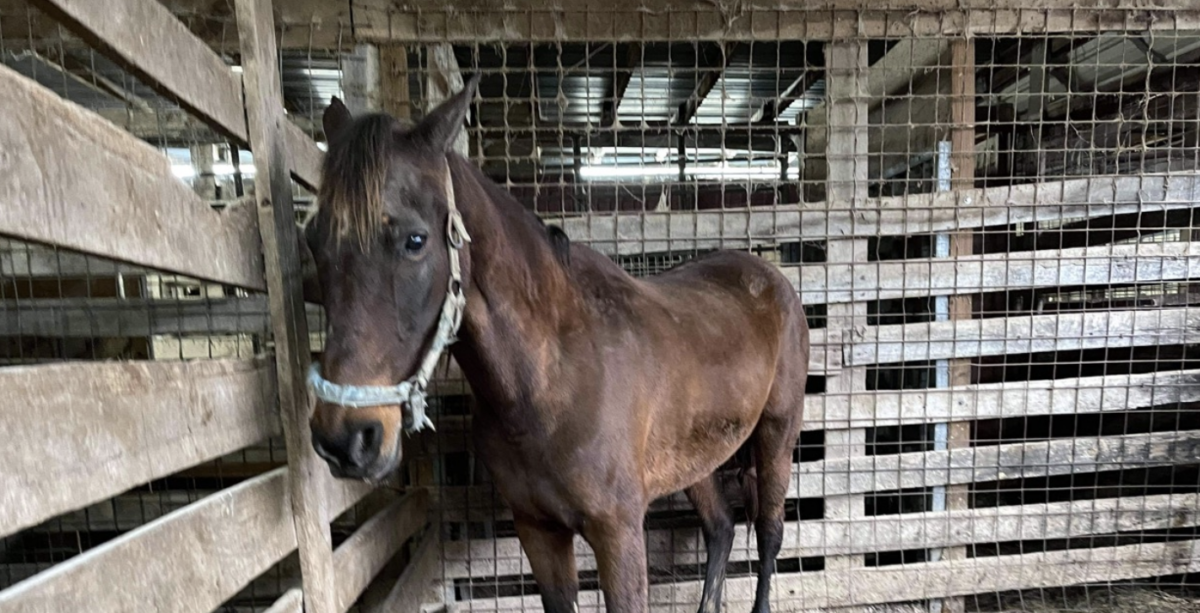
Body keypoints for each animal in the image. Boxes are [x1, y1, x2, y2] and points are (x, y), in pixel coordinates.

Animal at [303, 76, 810, 613]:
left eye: (415, 240)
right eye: (313, 240)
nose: (345, 439)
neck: (550, 379)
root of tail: (771, 277)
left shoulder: (617, 533)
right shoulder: (538, 531)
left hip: (777, 434)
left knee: (769, 532)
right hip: (696, 460)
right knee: (721, 528)